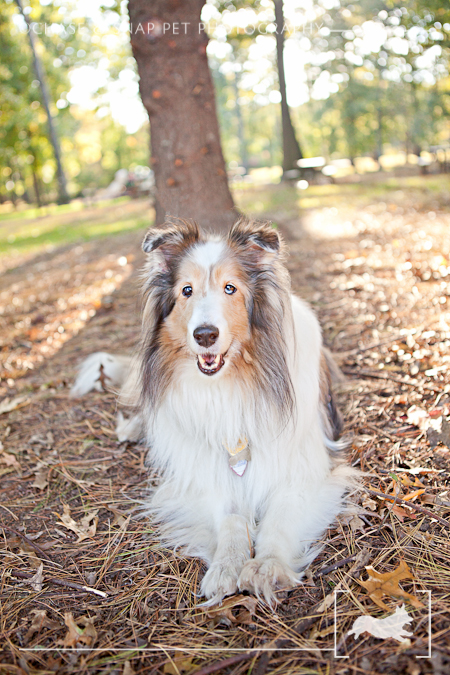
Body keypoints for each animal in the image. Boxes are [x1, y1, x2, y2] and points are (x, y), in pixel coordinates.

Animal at [73, 219, 356, 604]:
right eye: (187, 290)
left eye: (230, 288)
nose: (204, 334)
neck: (229, 384)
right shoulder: (207, 470)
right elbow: (231, 516)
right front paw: (226, 565)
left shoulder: (304, 471)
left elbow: (279, 519)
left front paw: (266, 566)